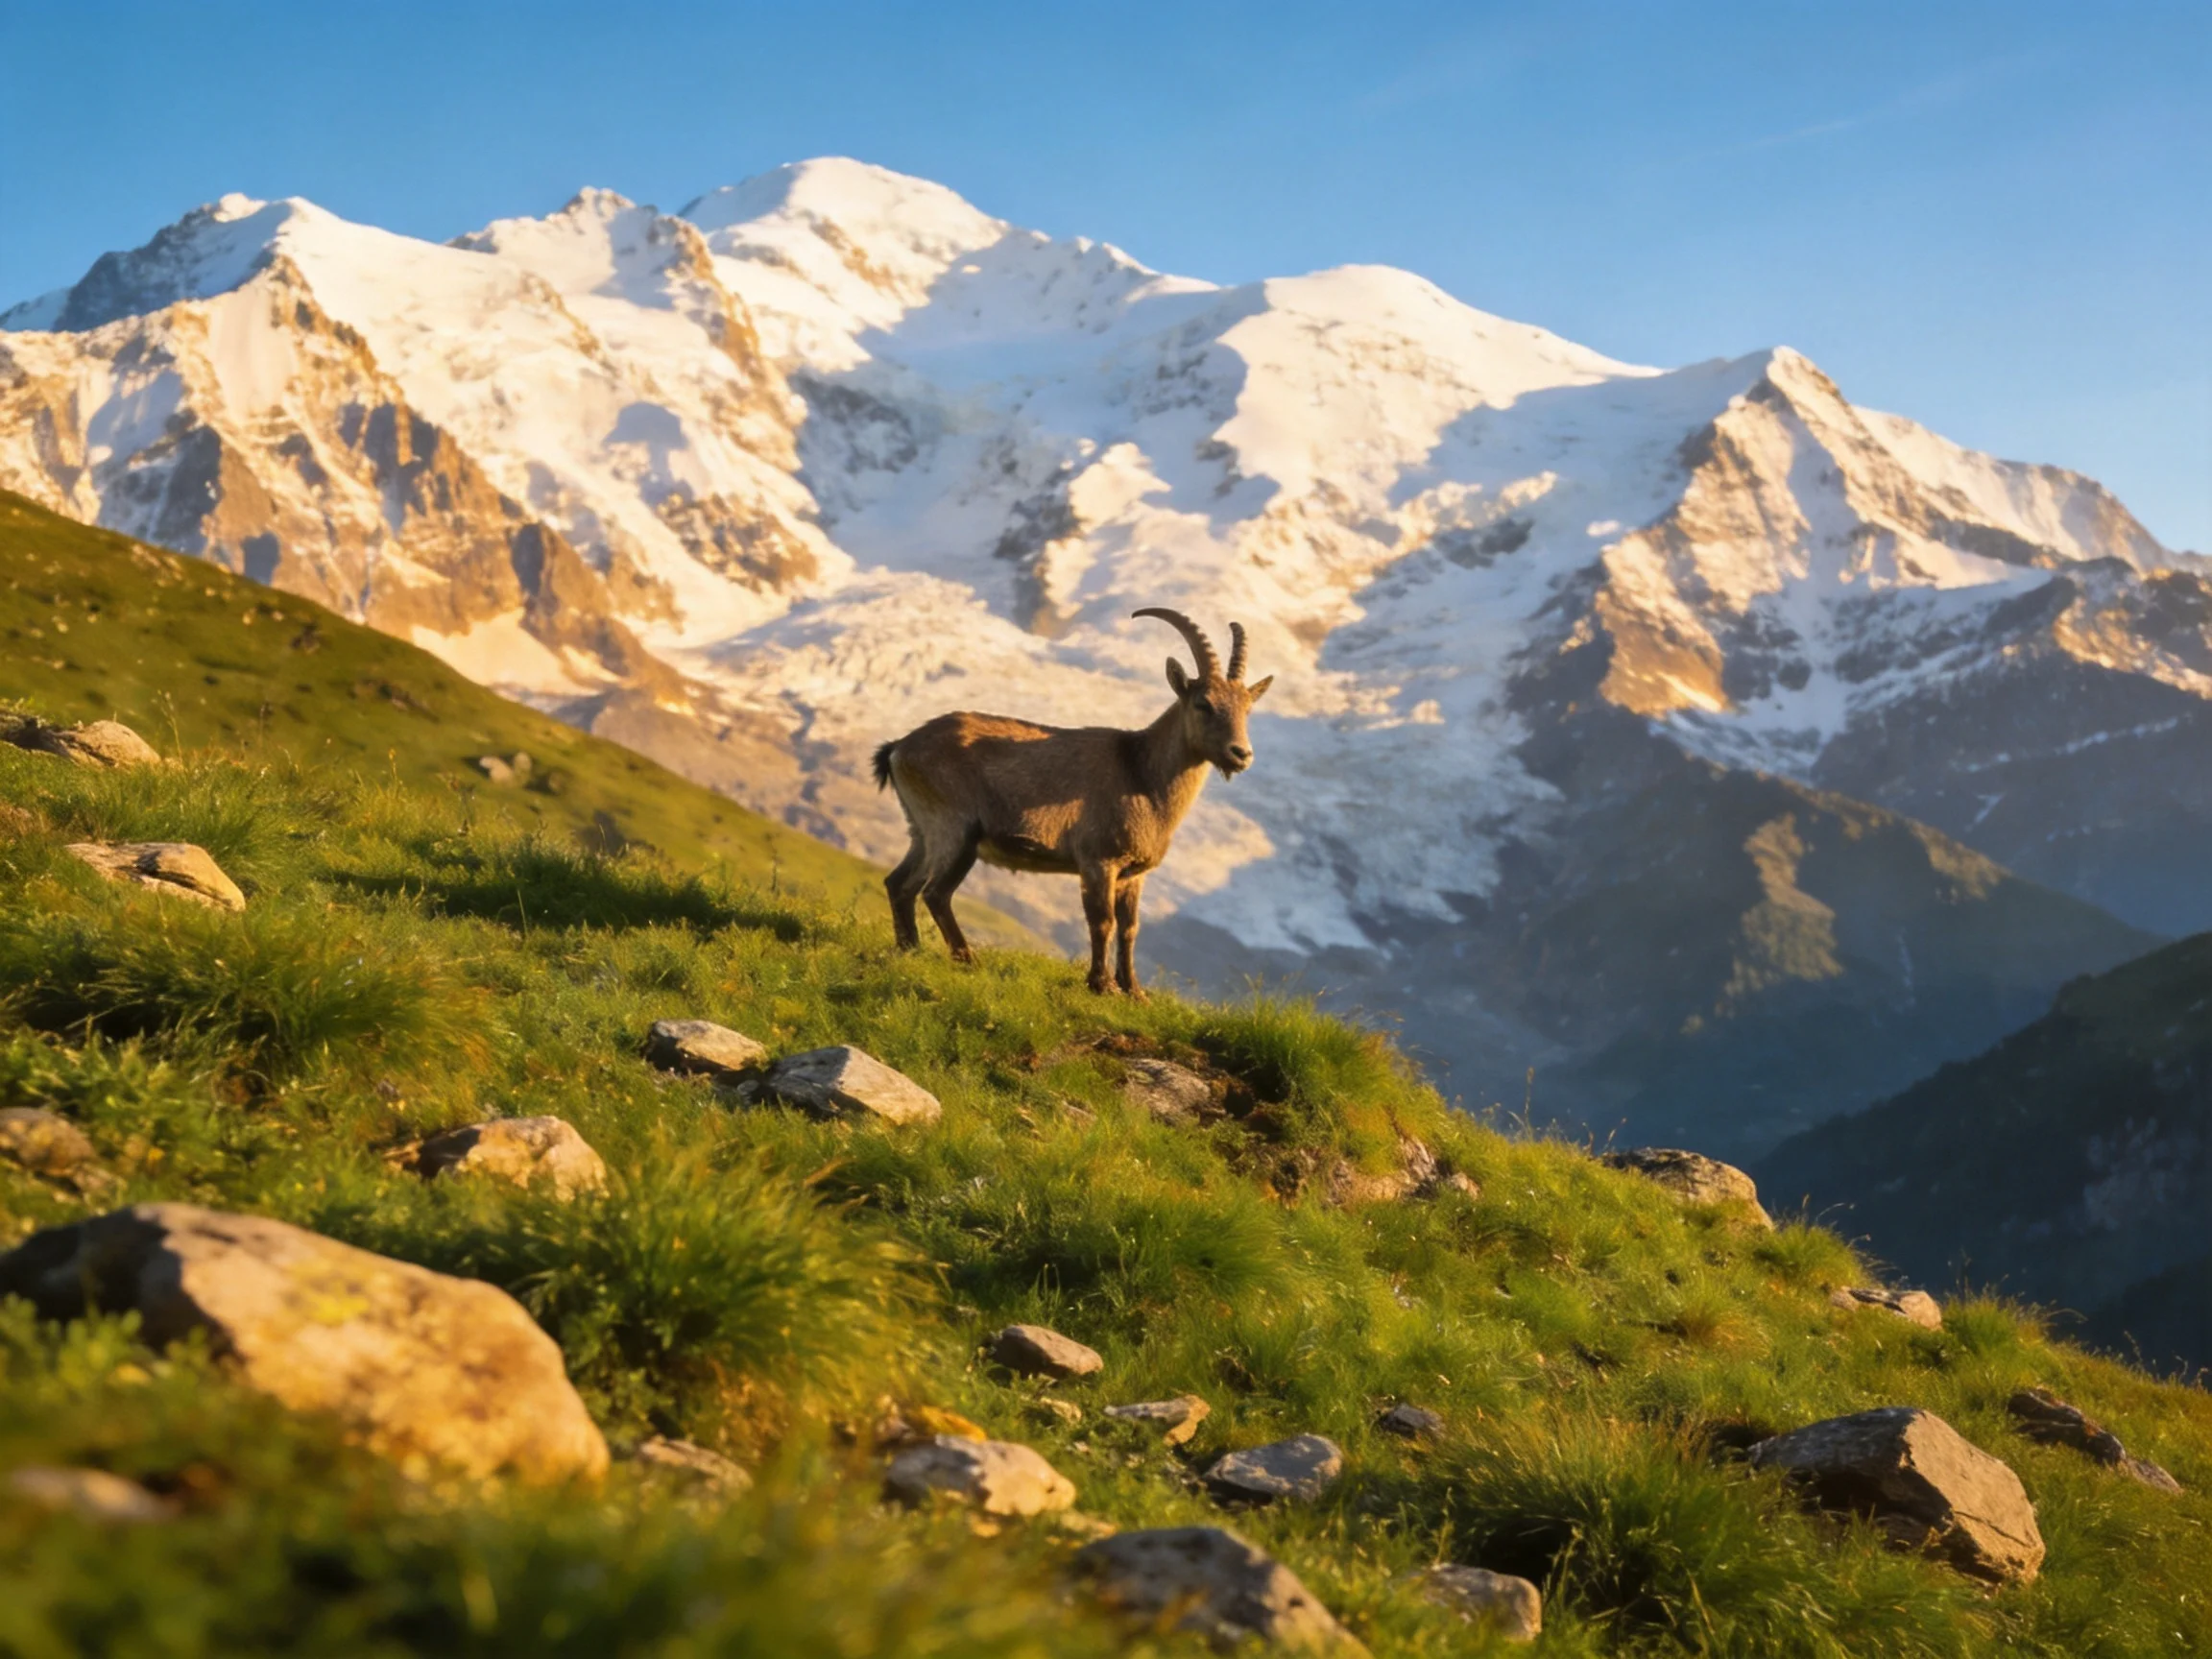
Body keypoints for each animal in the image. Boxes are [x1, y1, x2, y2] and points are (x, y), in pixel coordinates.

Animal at [873, 609, 1272, 997]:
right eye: (1204, 703)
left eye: (1247, 709)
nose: (1241, 754)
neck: (1142, 774)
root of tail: (899, 747)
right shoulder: (1098, 860)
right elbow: (1102, 920)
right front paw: (1102, 985)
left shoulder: (1134, 874)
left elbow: (1129, 927)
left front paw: (1134, 991)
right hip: (955, 831)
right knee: (935, 892)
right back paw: (967, 959)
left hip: (922, 830)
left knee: (900, 883)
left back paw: (910, 950)